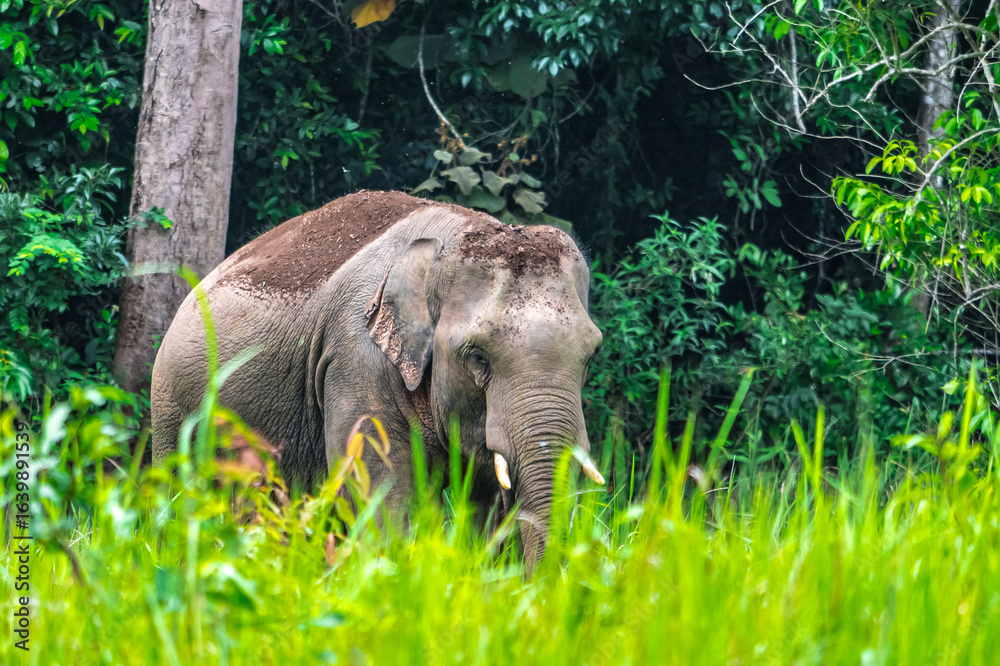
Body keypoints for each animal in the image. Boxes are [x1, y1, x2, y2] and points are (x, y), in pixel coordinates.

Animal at [151, 190, 604, 568]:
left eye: (591, 354)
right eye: (478, 357)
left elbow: (485, 504)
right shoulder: (355, 360)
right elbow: (383, 495)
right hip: (172, 409)